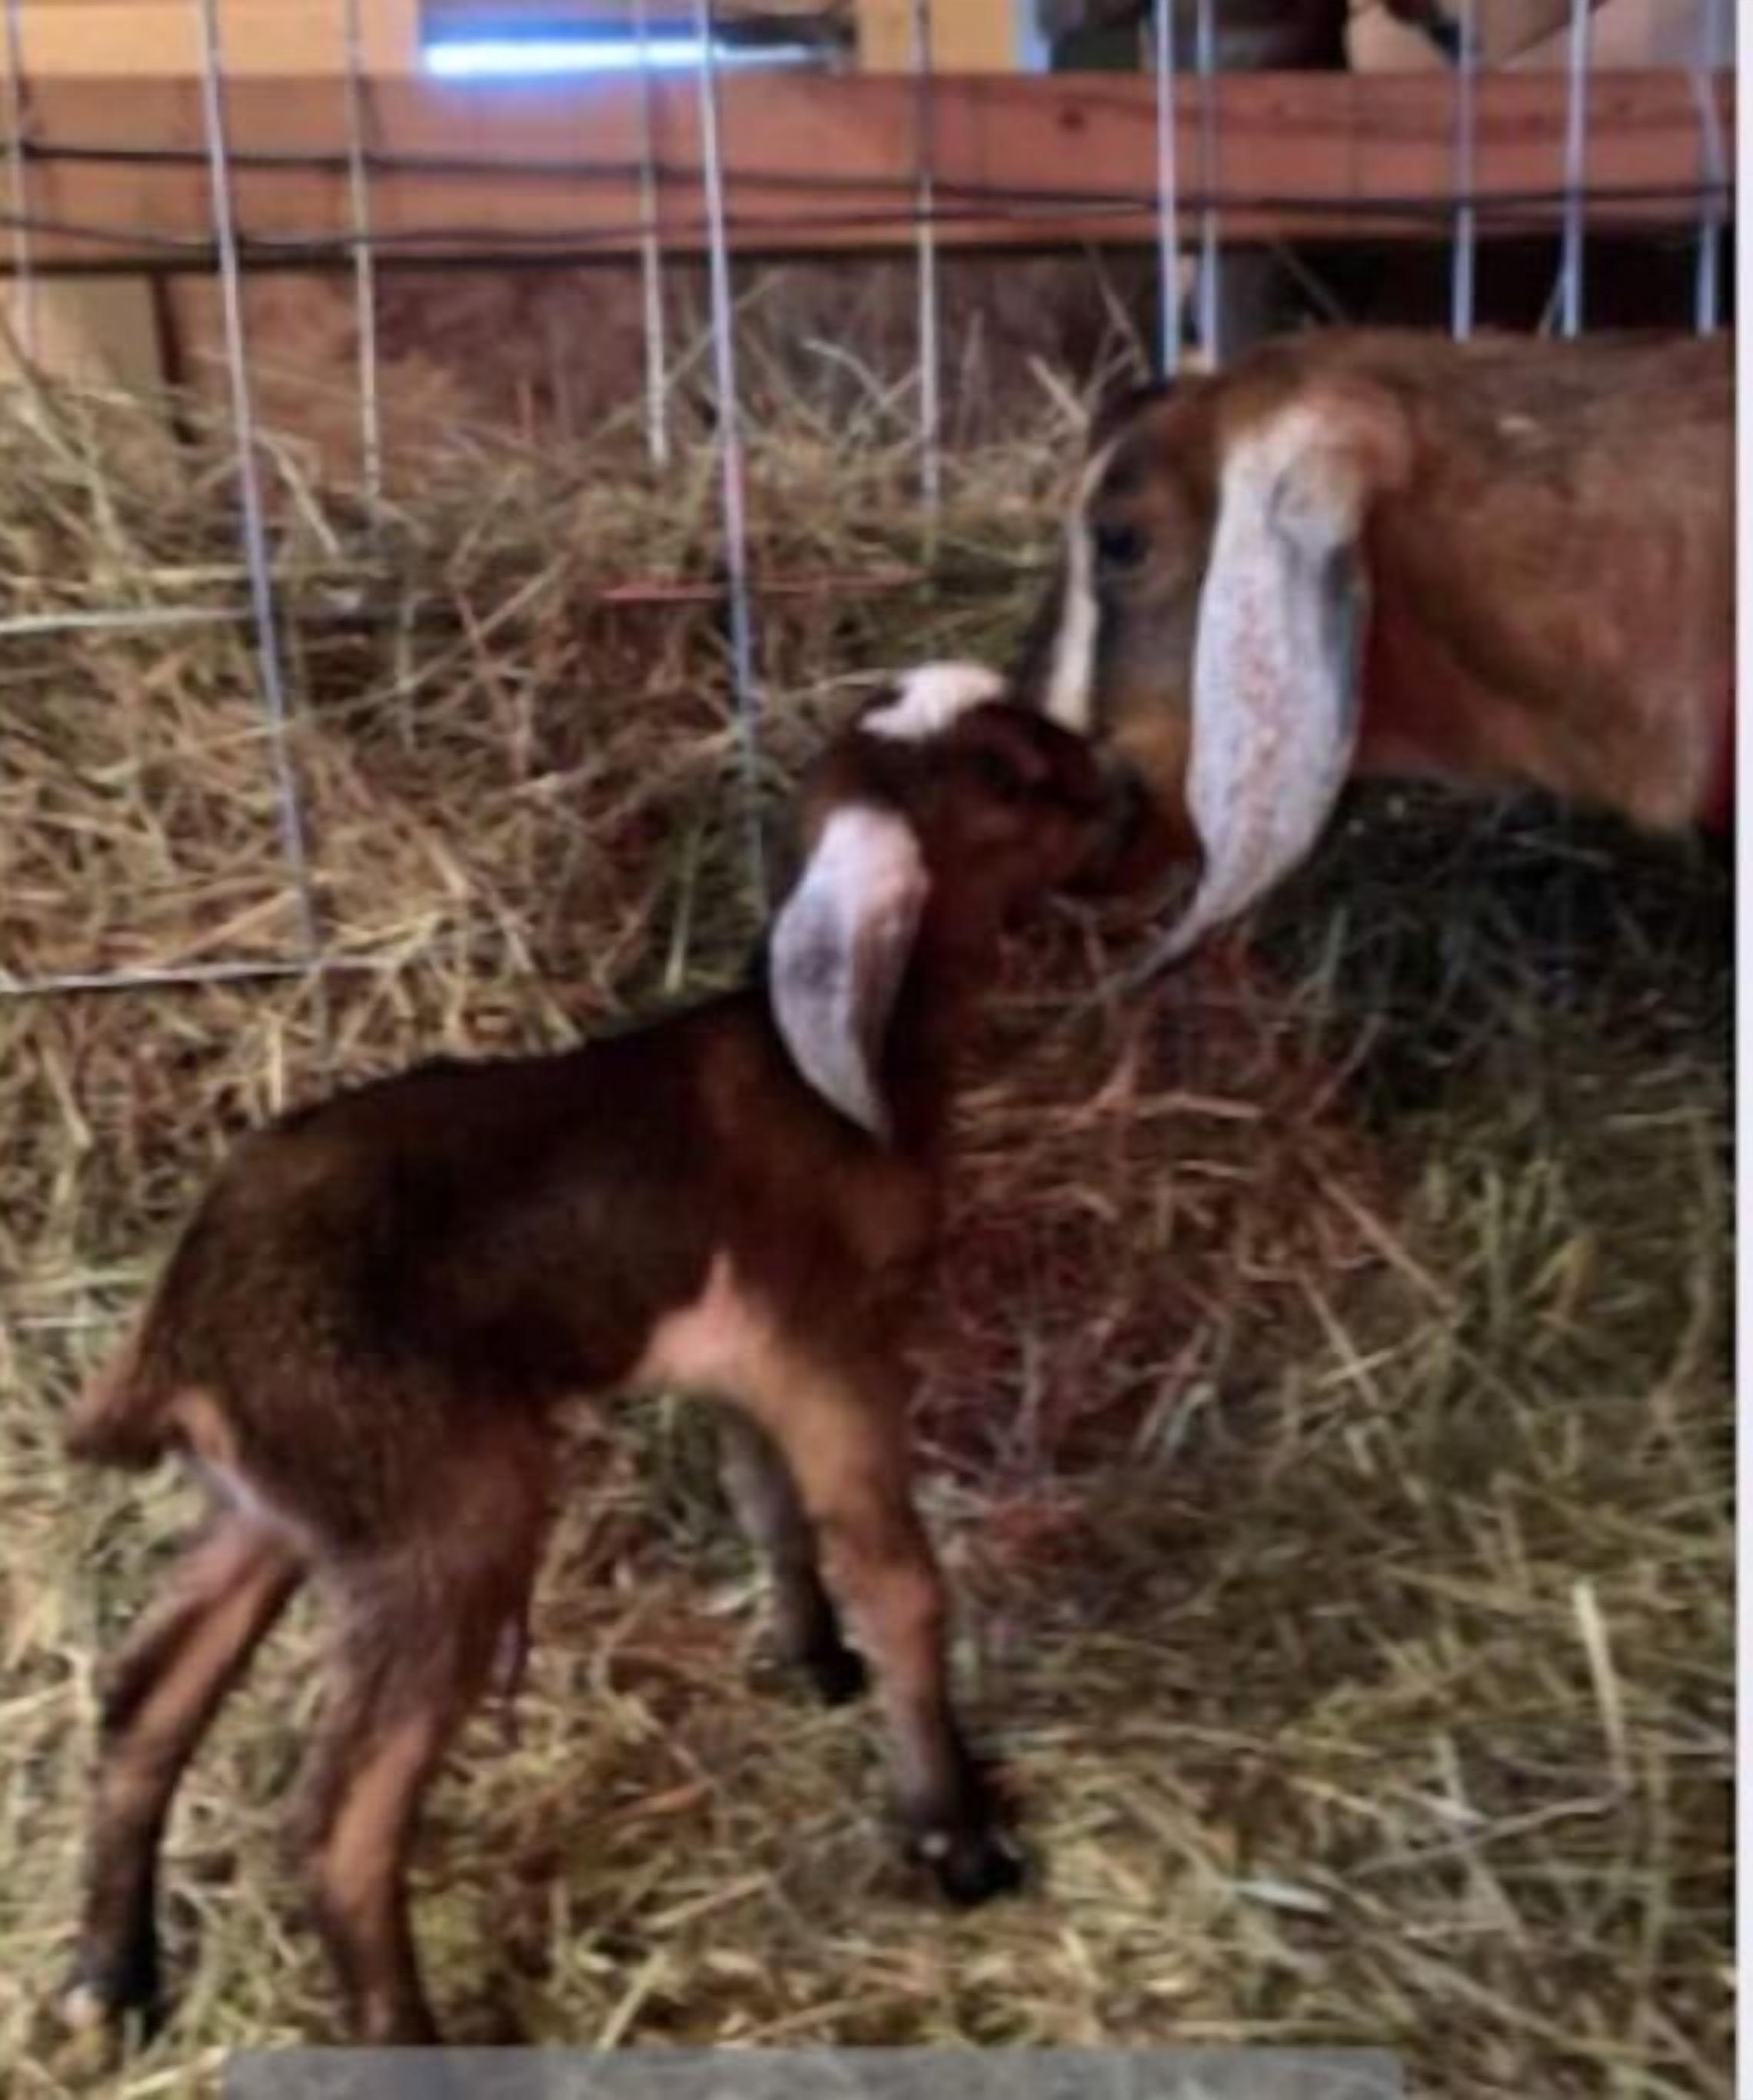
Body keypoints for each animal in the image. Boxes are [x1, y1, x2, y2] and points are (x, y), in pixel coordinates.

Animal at [57, 673, 1113, 2048]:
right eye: (1001, 776)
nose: (1118, 795)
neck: (826, 1077)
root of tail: (182, 1334)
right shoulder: (830, 1354)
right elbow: (897, 1577)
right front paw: (957, 1836)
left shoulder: (739, 1372)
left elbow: (769, 1511)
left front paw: (814, 1661)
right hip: (441, 1512)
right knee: (339, 1821)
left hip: (281, 1507)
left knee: (146, 1696)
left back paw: (113, 1975)